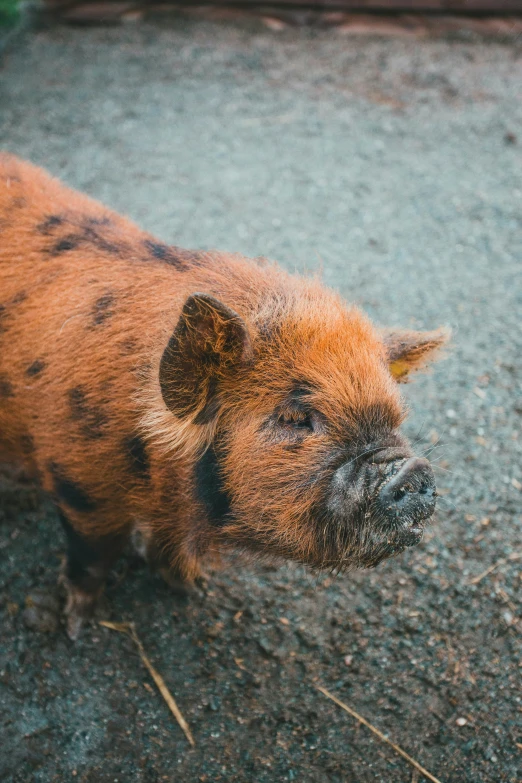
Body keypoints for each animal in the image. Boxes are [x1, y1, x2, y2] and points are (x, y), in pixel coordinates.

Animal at [0, 155, 446, 636]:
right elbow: (93, 557)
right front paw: (76, 625)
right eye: (294, 418)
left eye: (397, 417)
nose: (413, 469)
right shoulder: (77, 485)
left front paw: (193, 588)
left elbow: (170, 548)